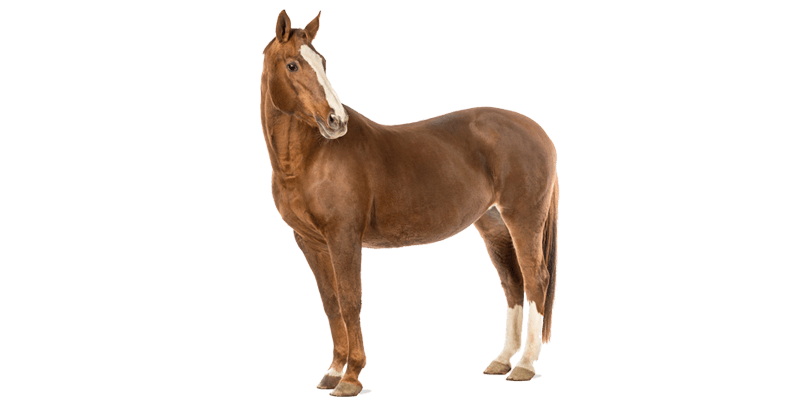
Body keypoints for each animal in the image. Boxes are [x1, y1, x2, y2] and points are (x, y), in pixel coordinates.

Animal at [260, 9, 559, 397]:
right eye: (293, 65)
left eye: (322, 62)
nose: (336, 121)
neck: (312, 157)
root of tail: (539, 132)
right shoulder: (310, 241)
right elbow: (331, 303)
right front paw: (333, 371)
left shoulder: (344, 237)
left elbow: (350, 300)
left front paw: (351, 377)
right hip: (494, 225)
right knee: (513, 284)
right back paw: (502, 360)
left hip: (523, 219)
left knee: (536, 279)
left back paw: (524, 365)